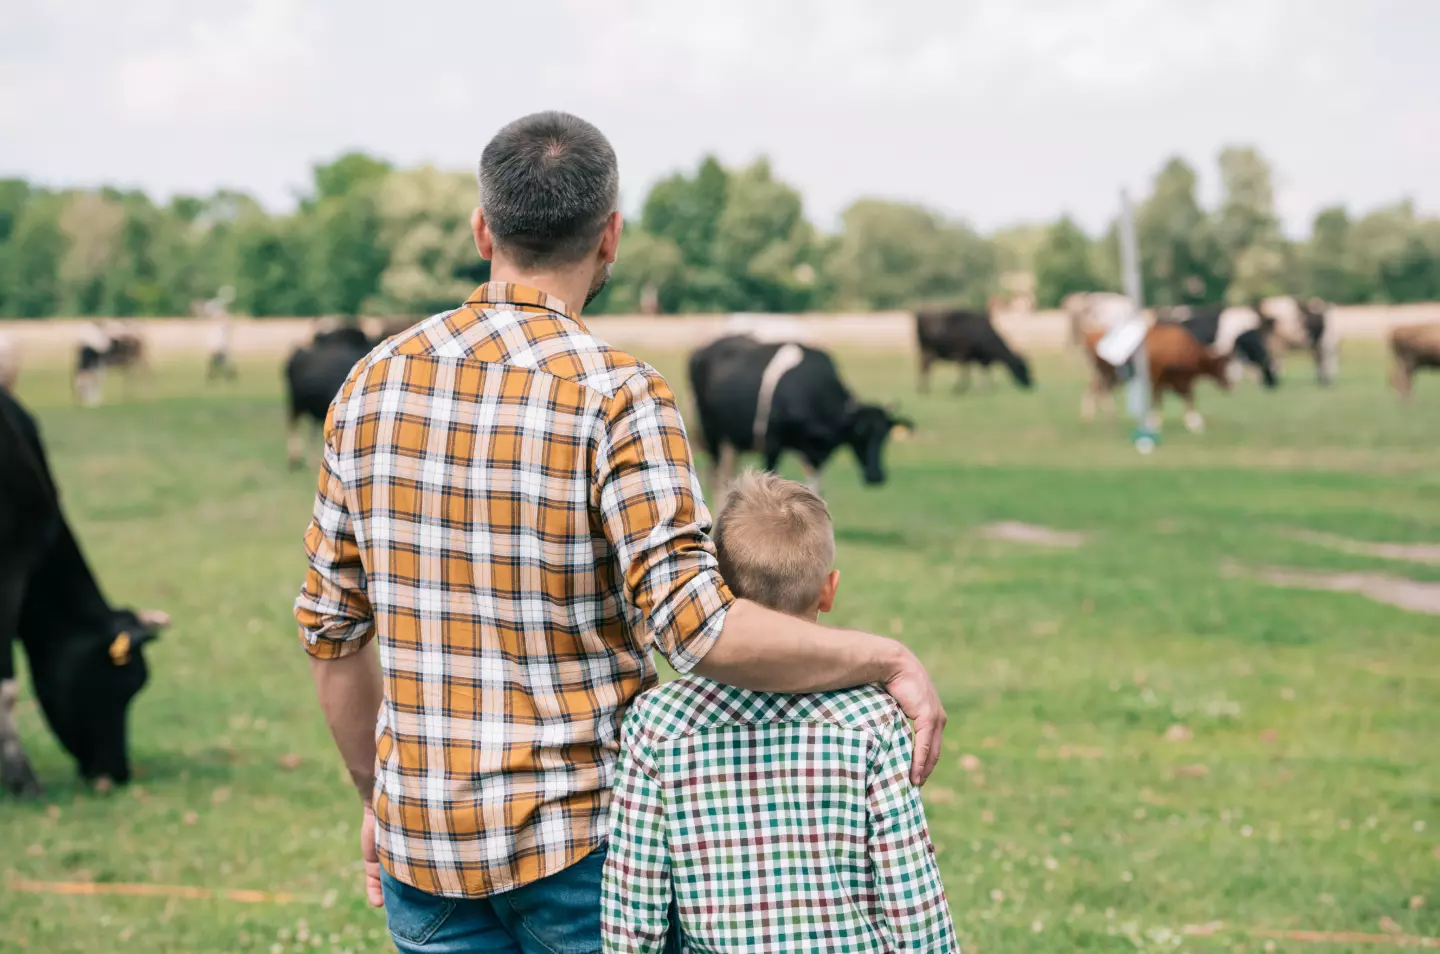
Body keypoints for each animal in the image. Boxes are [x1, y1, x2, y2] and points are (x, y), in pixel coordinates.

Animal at [685, 334, 910, 492]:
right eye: (859, 433)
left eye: (884, 435)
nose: (876, 476)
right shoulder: (772, 443)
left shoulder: (817, 455)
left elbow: (815, 491)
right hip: (711, 434)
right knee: (715, 478)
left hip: (732, 442)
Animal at [1082, 321, 1232, 432]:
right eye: (1222, 366)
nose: (1229, 384)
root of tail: (1091, 334)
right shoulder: (1162, 378)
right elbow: (1165, 398)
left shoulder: (1175, 380)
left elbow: (1184, 397)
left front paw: (1192, 422)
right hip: (1106, 374)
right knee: (1101, 392)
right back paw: (1101, 418)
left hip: (1104, 375)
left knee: (1097, 391)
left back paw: (1099, 418)